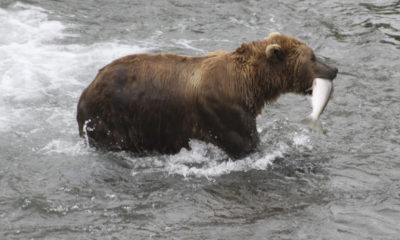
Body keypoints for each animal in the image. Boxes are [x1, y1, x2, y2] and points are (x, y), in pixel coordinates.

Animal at [76, 32, 336, 158]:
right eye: (312, 57)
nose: (334, 69)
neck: (250, 85)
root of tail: (87, 87)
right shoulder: (223, 110)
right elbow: (246, 144)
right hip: (111, 117)